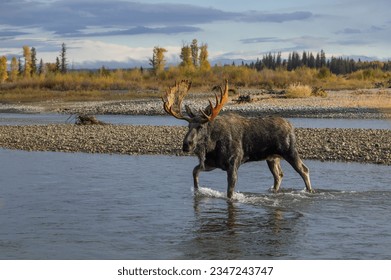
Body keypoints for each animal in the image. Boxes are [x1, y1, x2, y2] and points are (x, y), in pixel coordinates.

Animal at [162, 79, 312, 198]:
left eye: (201, 126)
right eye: (188, 126)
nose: (186, 144)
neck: (212, 145)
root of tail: (290, 125)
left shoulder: (233, 163)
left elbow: (230, 193)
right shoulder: (212, 163)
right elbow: (194, 171)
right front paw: (197, 190)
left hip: (289, 151)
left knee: (304, 170)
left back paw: (309, 191)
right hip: (272, 158)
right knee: (278, 175)